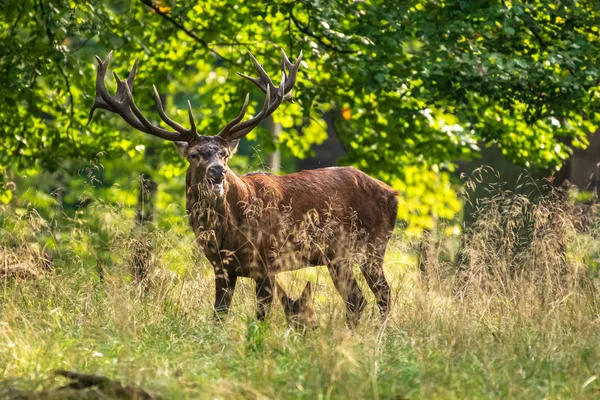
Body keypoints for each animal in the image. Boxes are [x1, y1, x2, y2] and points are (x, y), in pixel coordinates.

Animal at [88, 48, 398, 326]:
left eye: (224, 154)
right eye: (195, 154)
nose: (218, 172)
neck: (227, 232)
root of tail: (394, 194)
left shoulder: (267, 261)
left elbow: (260, 317)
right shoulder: (221, 267)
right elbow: (219, 315)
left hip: (371, 246)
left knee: (380, 295)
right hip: (341, 256)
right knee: (358, 300)